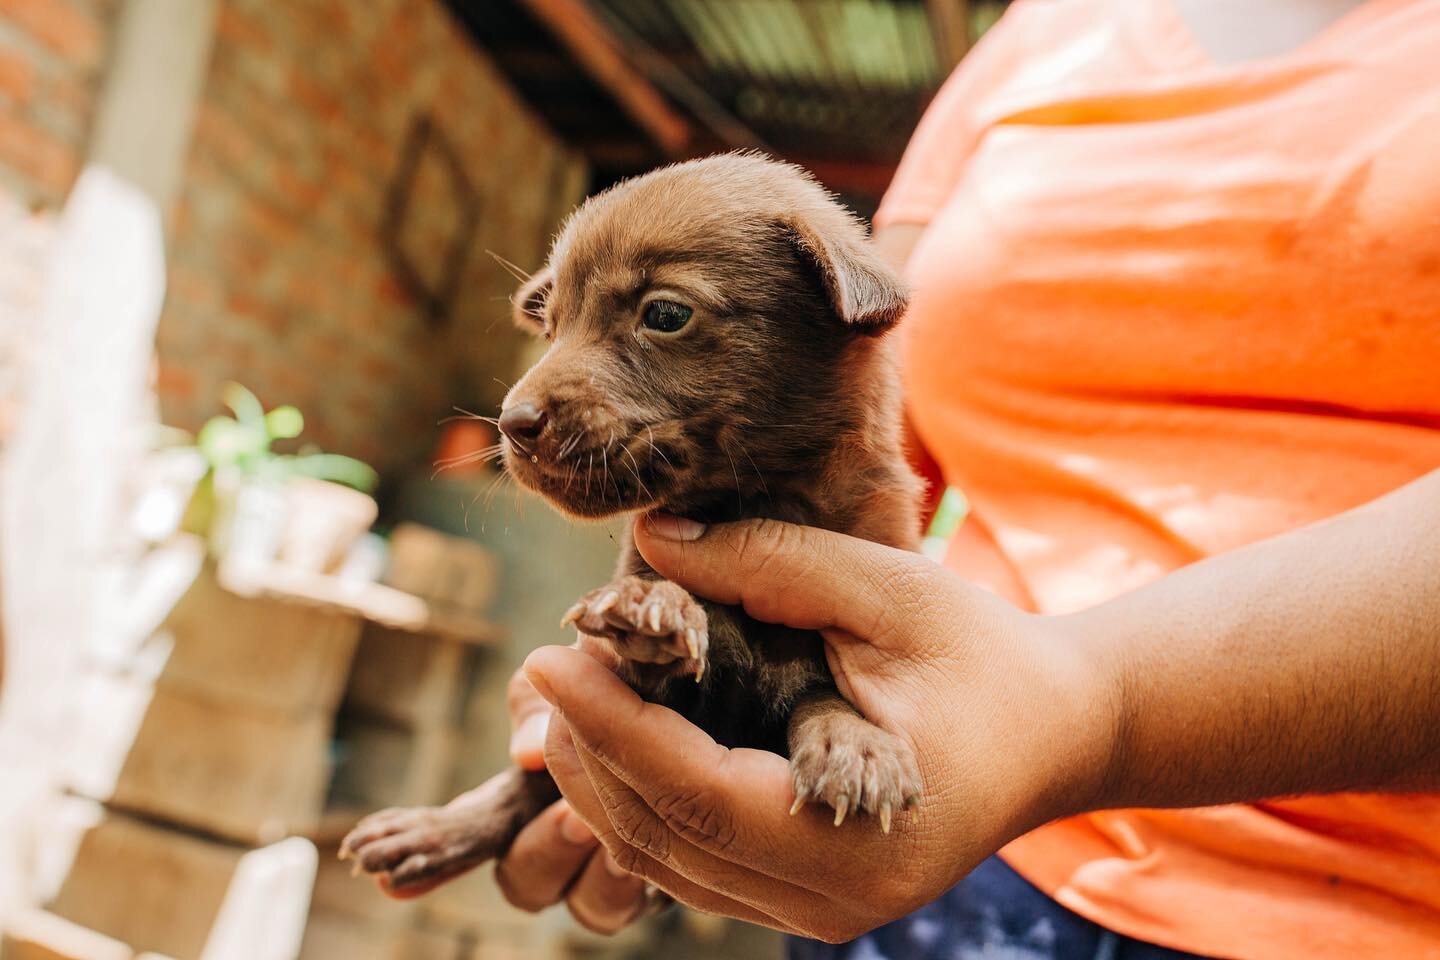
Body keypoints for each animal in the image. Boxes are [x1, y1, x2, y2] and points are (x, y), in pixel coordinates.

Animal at [339, 151, 921, 903]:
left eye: (665, 314)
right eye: (551, 328)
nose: (511, 425)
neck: (752, 503)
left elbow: (827, 693)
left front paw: (857, 744)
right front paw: (652, 606)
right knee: (522, 786)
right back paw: (429, 832)